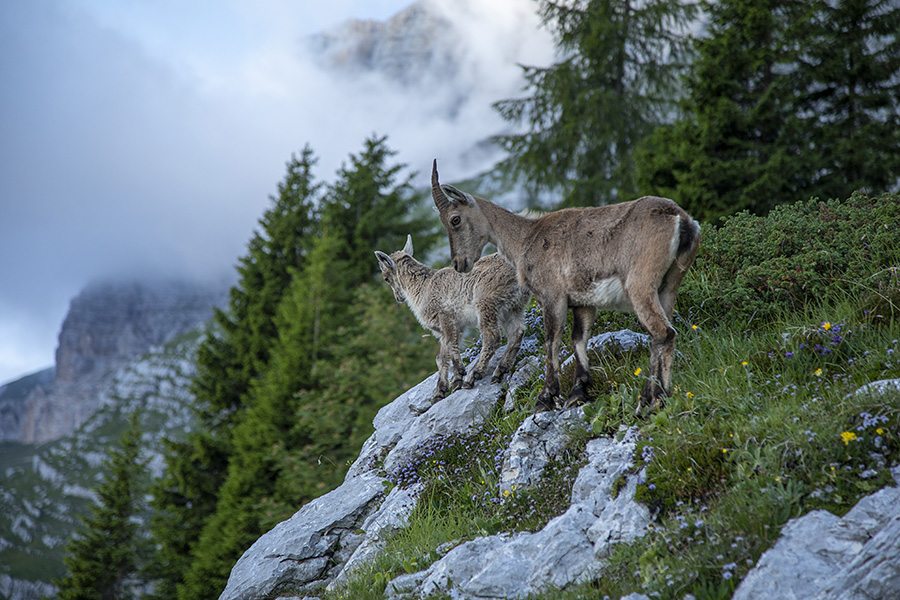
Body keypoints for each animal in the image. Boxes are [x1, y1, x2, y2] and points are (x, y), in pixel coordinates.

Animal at [375, 234, 528, 403]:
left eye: (386, 278)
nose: (398, 298)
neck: (423, 288)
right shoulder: (447, 330)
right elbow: (441, 357)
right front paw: (441, 391)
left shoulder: (446, 318)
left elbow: (451, 346)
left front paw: (459, 376)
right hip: (512, 307)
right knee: (517, 332)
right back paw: (500, 371)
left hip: (486, 302)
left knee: (492, 337)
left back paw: (473, 375)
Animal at [430, 160, 700, 416]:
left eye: (455, 219)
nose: (459, 263)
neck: (525, 238)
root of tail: (681, 219)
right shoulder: (583, 301)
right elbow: (578, 340)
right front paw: (578, 393)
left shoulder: (552, 296)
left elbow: (552, 342)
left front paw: (545, 399)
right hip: (669, 285)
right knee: (663, 333)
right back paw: (656, 398)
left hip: (640, 285)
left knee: (663, 333)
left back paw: (648, 403)